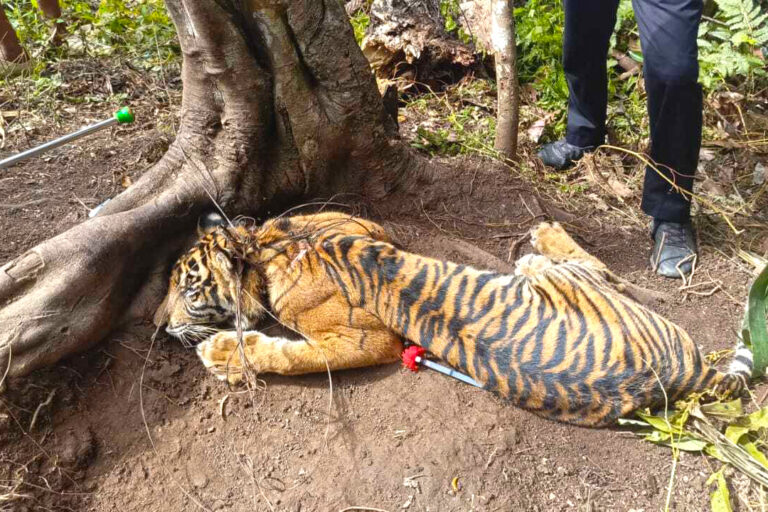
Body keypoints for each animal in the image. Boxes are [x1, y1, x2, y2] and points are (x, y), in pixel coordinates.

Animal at [154, 211, 753, 427]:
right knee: (594, 268)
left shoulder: (366, 334)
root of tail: (687, 372)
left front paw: (223, 352)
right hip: (569, 283)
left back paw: (544, 233)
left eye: (187, 288)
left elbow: (291, 354)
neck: (265, 250)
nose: (159, 325)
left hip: (573, 280)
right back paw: (540, 242)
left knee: (600, 267)